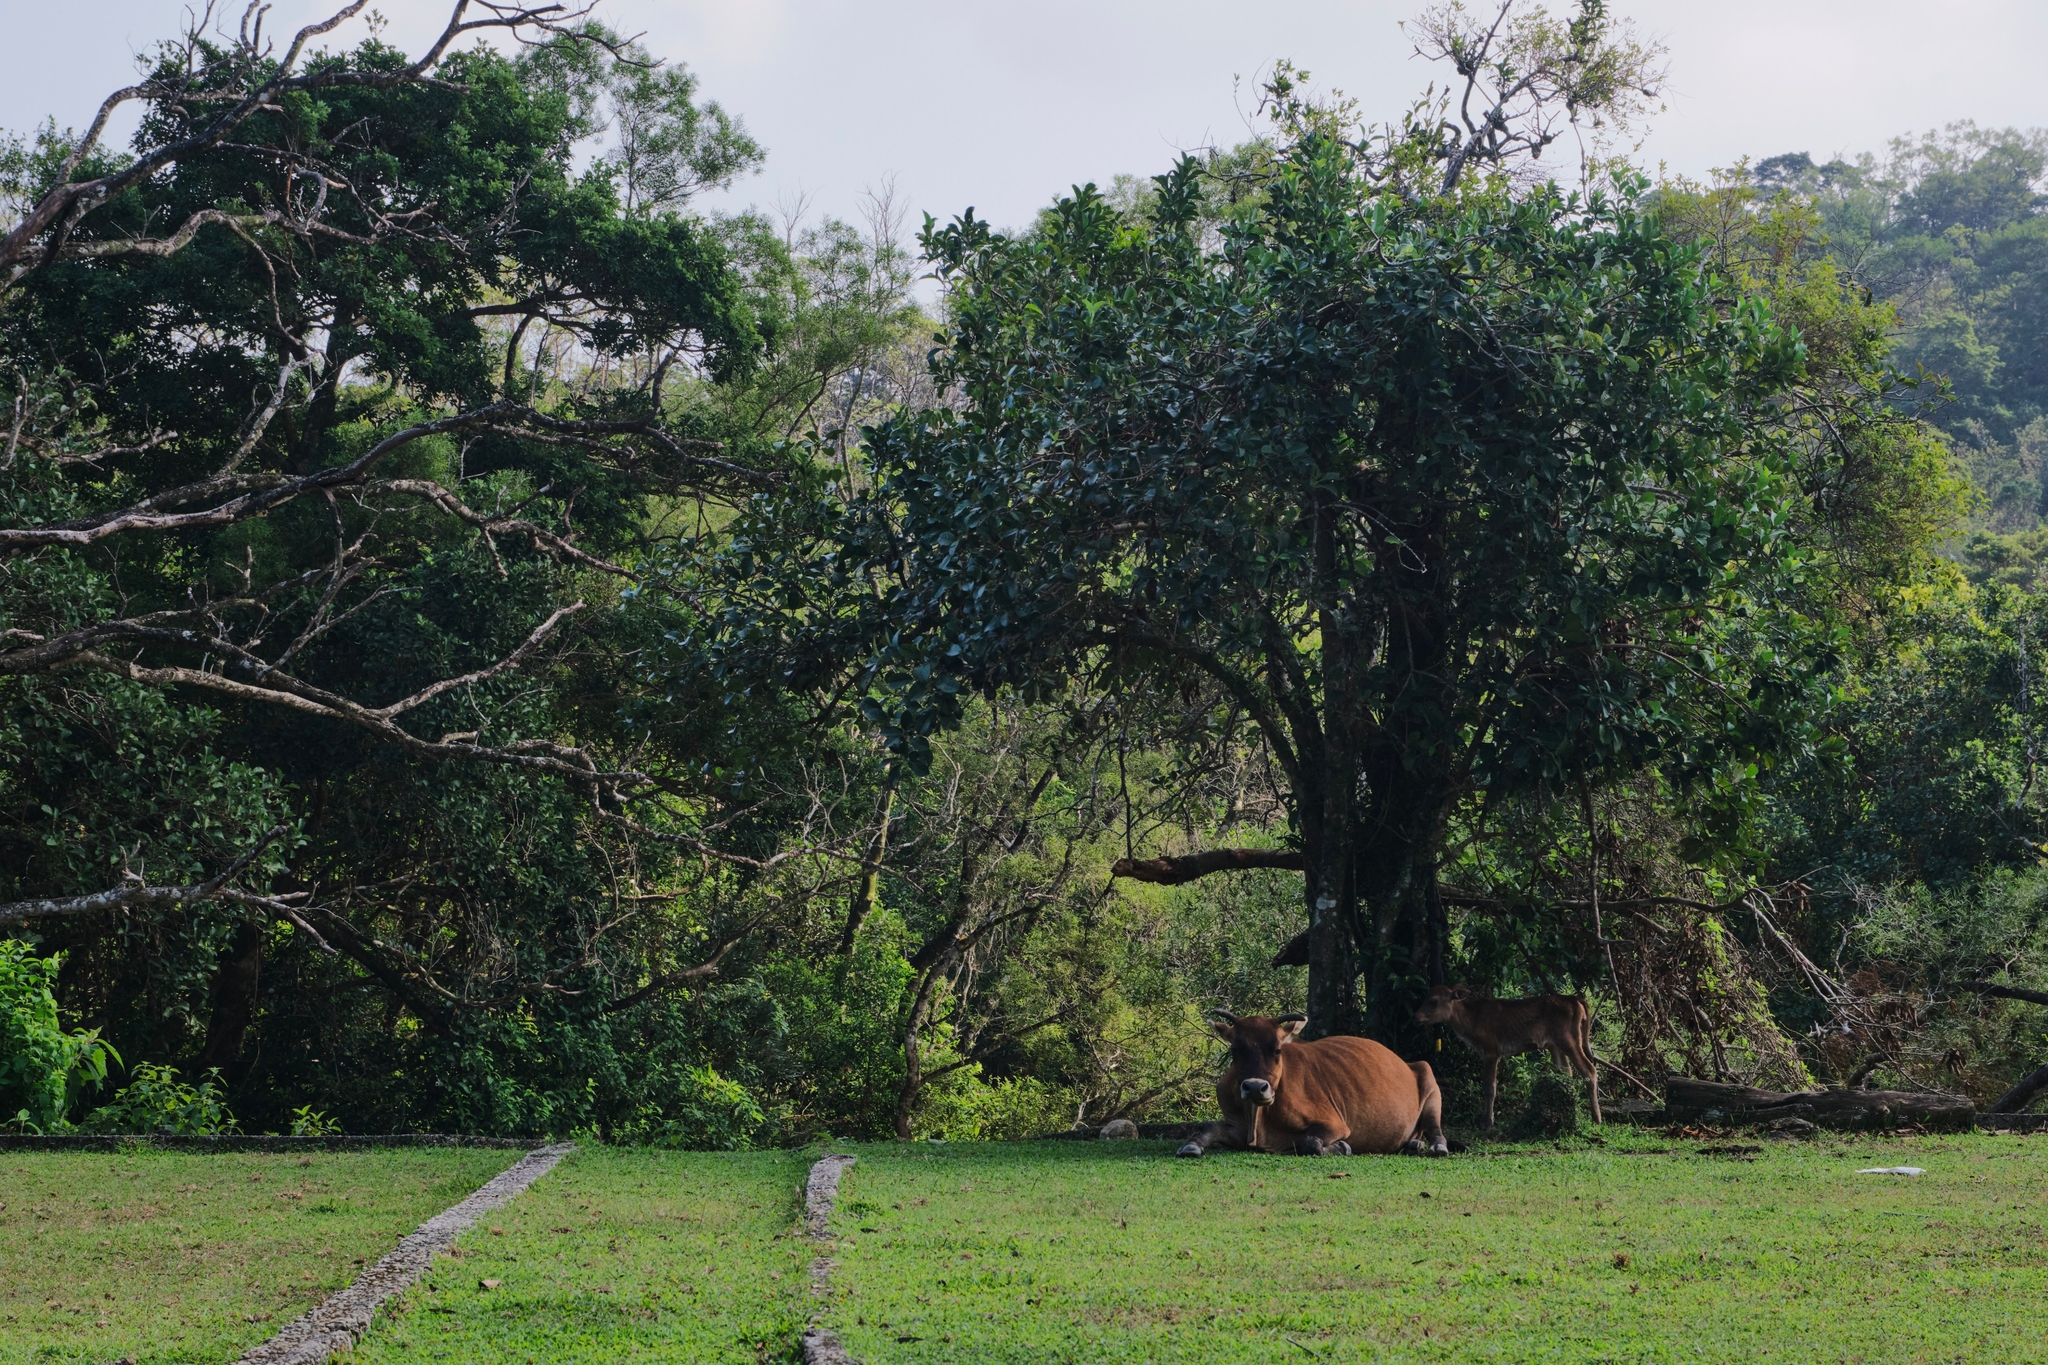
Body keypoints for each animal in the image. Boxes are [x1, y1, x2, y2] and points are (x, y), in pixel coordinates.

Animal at [1175, 1011, 1449, 1158]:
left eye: (1277, 1050)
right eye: (1235, 1050)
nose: (1254, 1087)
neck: (1260, 1119)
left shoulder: (1335, 1124)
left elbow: (1310, 1143)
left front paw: (1340, 1147)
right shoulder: (1237, 1127)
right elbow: (1210, 1128)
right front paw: (1191, 1145)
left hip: (1429, 1080)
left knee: (1436, 1129)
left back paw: (1434, 1146)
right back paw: (1413, 1143)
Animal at [1413, 984, 1602, 1128]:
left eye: (1433, 1001)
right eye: (1425, 998)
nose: (1416, 1017)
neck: (1470, 1020)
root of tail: (1576, 1000)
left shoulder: (1491, 1051)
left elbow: (1489, 1087)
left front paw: (1487, 1122)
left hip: (1570, 1041)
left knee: (1589, 1071)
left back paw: (1596, 1118)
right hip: (1554, 1045)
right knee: (1566, 1074)